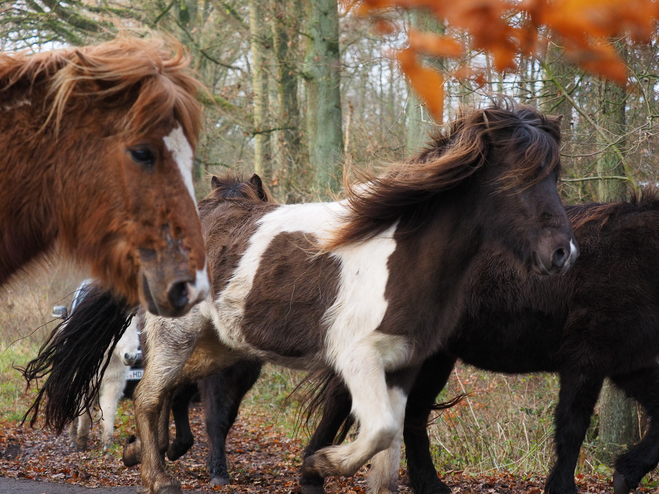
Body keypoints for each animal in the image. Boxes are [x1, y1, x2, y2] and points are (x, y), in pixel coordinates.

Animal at [31, 101, 576, 494]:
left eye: (554, 174)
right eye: (517, 177)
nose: (562, 253)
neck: (403, 259)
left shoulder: (403, 366)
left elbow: (388, 456)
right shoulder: (358, 359)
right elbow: (378, 431)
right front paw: (318, 464)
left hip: (223, 347)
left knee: (171, 390)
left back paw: (137, 454)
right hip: (175, 335)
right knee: (148, 396)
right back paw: (158, 478)